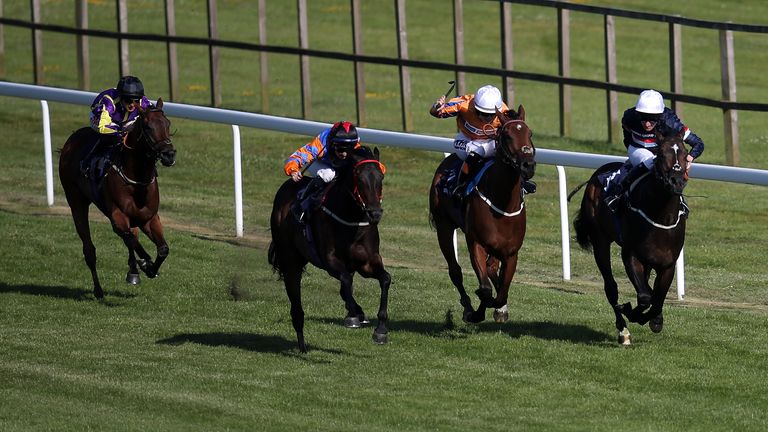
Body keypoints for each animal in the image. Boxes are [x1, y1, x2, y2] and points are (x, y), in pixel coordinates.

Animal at [58, 99, 176, 298]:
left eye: (167, 124)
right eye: (148, 127)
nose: (169, 154)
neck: (137, 180)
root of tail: (71, 140)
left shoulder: (150, 218)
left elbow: (163, 249)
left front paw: (149, 268)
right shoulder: (118, 217)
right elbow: (130, 239)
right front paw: (146, 263)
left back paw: (133, 271)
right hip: (75, 200)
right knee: (89, 249)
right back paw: (98, 290)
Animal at [268, 145, 390, 352]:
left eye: (380, 177)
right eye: (359, 178)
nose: (374, 213)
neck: (352, 222)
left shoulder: (367, 262)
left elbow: (385, 279)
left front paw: (380, 330)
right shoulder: (329, 260)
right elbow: (346, 280)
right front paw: (353, 317)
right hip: (290, 259)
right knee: (296, 303)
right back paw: (302, 345)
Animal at [428, 106, 536, 324]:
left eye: (530, 134)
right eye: (507, 136)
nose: (528, 166)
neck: (502, 201)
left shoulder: (511, 252)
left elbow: (502, 290)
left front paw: (500, 308)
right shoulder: (476, 242)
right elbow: (485, 289)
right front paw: (476, 312)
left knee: (492, 269)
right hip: (444, 227)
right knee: (455, 271)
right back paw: (468, 305)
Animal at [568, 132, 688, 344]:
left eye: (685, 154)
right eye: (661, 154)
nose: (676, 181)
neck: (661, 217)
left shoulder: (667, 264)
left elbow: (656, 300)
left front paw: (655, 319)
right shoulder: (631, 255)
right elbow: (646, 297)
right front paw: (630, 311)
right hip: (600, 240)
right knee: (611, 287)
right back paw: (623, 330)